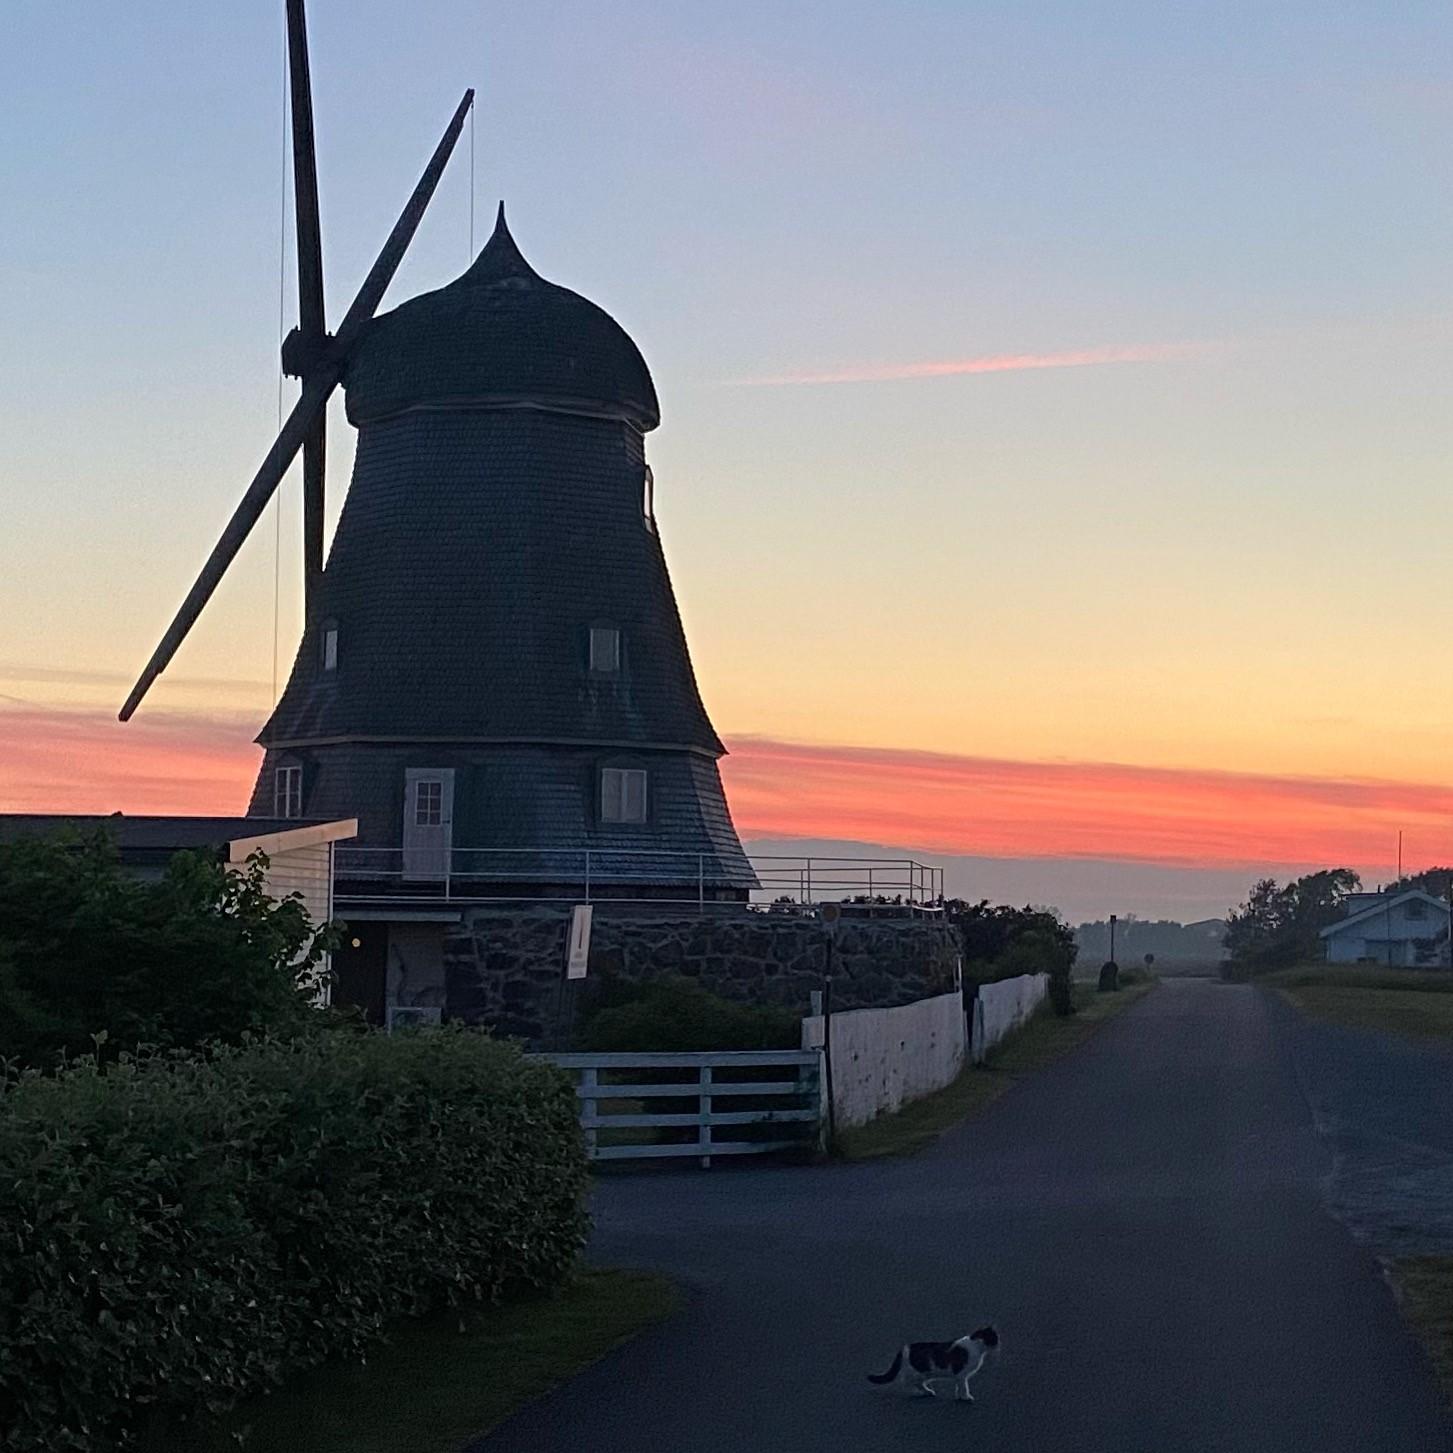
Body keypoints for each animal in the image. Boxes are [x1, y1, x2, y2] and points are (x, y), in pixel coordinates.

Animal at [860, 1330, 999, 1394]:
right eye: (995, 1338)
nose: (999, 1344)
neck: (977, 1347)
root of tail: (905, 1347)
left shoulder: (959, 1376)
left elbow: (960, 1386)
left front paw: (960, 1396)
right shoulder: (961, 1373)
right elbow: (964, 1386)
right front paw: (966, 1397)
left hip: (926, 1374)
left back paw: (928, 1391)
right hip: (921, 1371)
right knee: (908, 1380)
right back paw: (925, 1391)